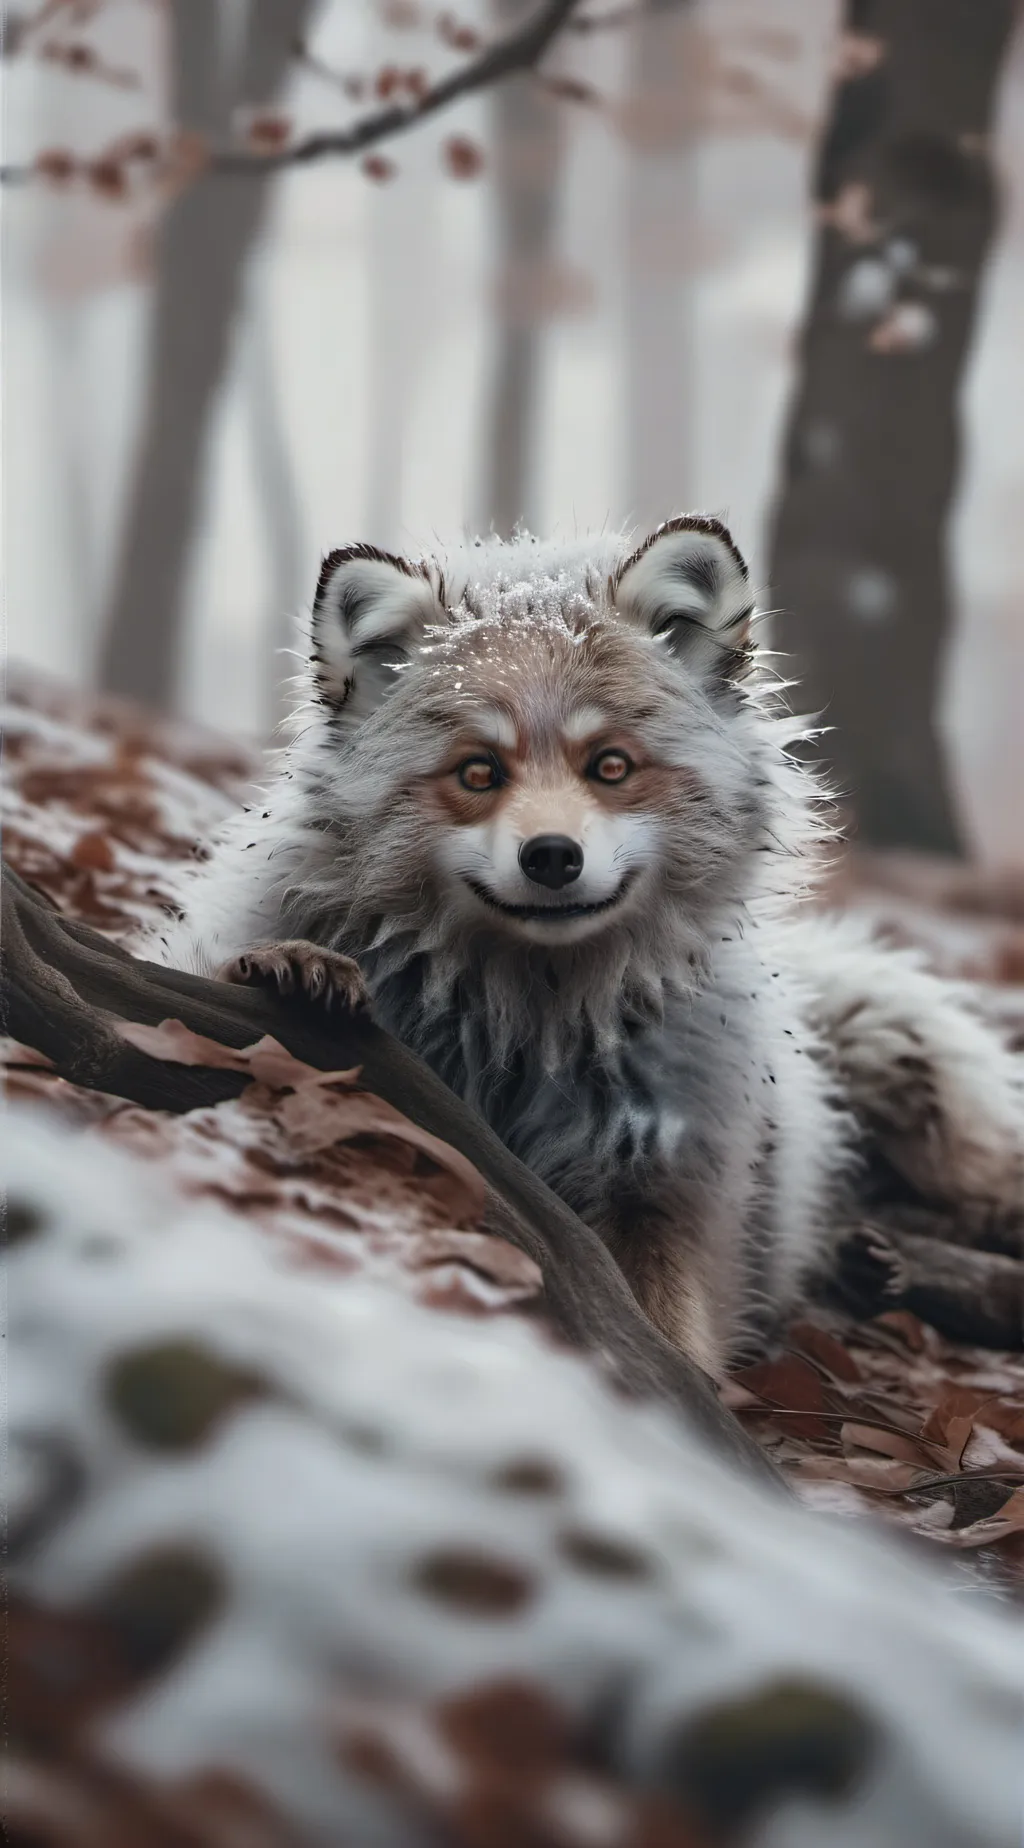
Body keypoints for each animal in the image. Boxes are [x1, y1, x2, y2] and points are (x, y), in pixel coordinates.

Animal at [155, 518, 1022, 1375]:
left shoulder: (659, 1197)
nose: (551, 857)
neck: (516, 1028)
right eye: (479, 772)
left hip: (912, 1074)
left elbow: (674, 1349)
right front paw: (289, 964)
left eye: (610, 765)